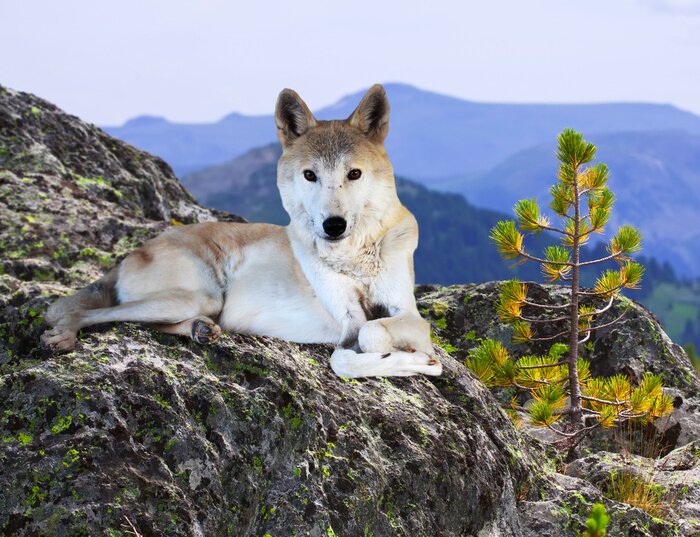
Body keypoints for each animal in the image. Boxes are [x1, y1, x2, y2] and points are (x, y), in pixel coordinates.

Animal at [40, 84, 442, 378]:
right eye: (310, 175)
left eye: (354, 174)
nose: (333, 226)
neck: (353, 257)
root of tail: (127, 257)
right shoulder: (348, 322)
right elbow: (346, 354)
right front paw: (415, 361)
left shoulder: (407, 312)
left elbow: (376, 331)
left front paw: (416, 359)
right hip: (195, 297)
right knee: (89, 314)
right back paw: (64, 335)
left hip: (196, 304)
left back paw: (201, 331)